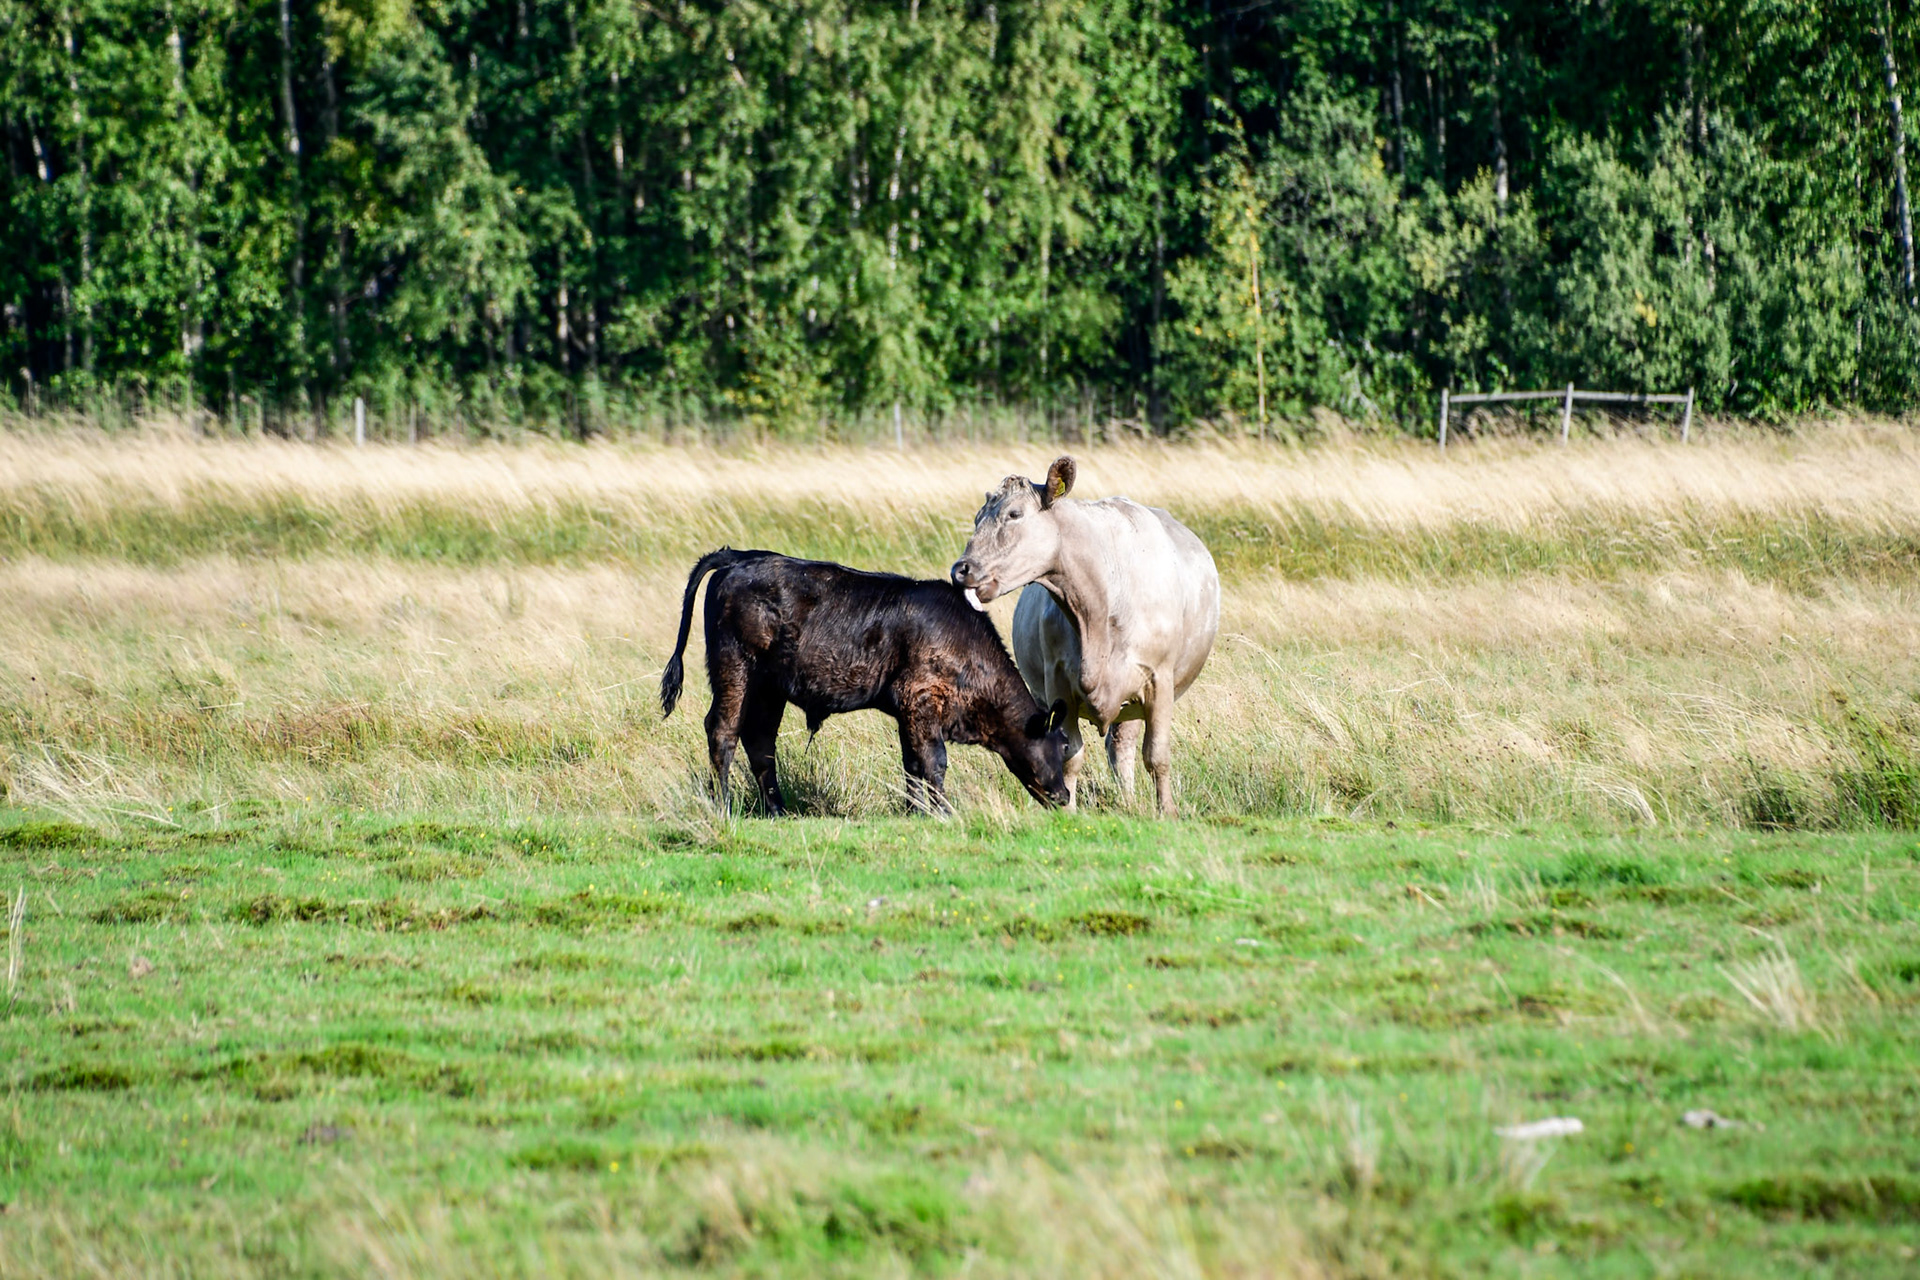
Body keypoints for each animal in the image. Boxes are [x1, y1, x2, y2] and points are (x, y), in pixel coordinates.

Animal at [660, 548, 1073, 815]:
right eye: (1063, 747)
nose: (1065, 796)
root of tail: (739, 556)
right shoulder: (921, 699)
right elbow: (934, 762)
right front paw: (944, 812)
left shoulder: (910, 713)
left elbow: (912, 763)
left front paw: (915, 812)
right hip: (735, 667)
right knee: (722, 731)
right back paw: (723, 806)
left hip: (767, 688)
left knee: (760, 741)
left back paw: (777, 809)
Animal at [949, 457, 1219, 815]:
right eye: (977, 518)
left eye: (1014, 514)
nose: (961, 569)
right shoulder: (1058, 683)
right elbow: (1070, 755)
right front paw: (1068, 810)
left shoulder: (1158, 680)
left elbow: (1157, 755)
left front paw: (1168, 813)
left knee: (1123, 746)